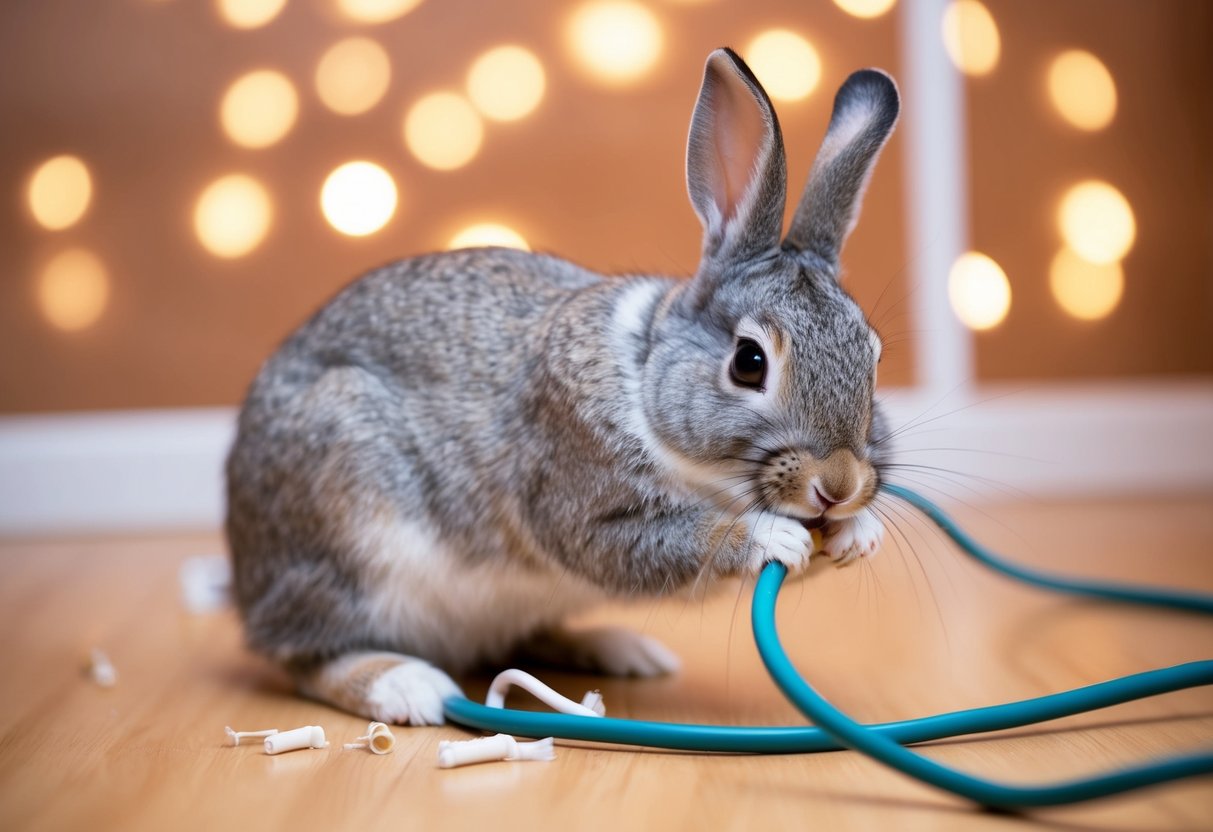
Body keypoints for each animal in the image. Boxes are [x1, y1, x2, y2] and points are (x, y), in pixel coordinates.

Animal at [225, 47, 900, 725]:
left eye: (873, 357)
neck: (643, 373)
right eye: (749, 362)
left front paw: (859, 535)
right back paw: (405, 685)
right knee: (304, 655)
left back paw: (620, 650)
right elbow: (673, 542)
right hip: (348, 531)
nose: (838, 487)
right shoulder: (577, 501)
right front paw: (772, 534)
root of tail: (244, 574)